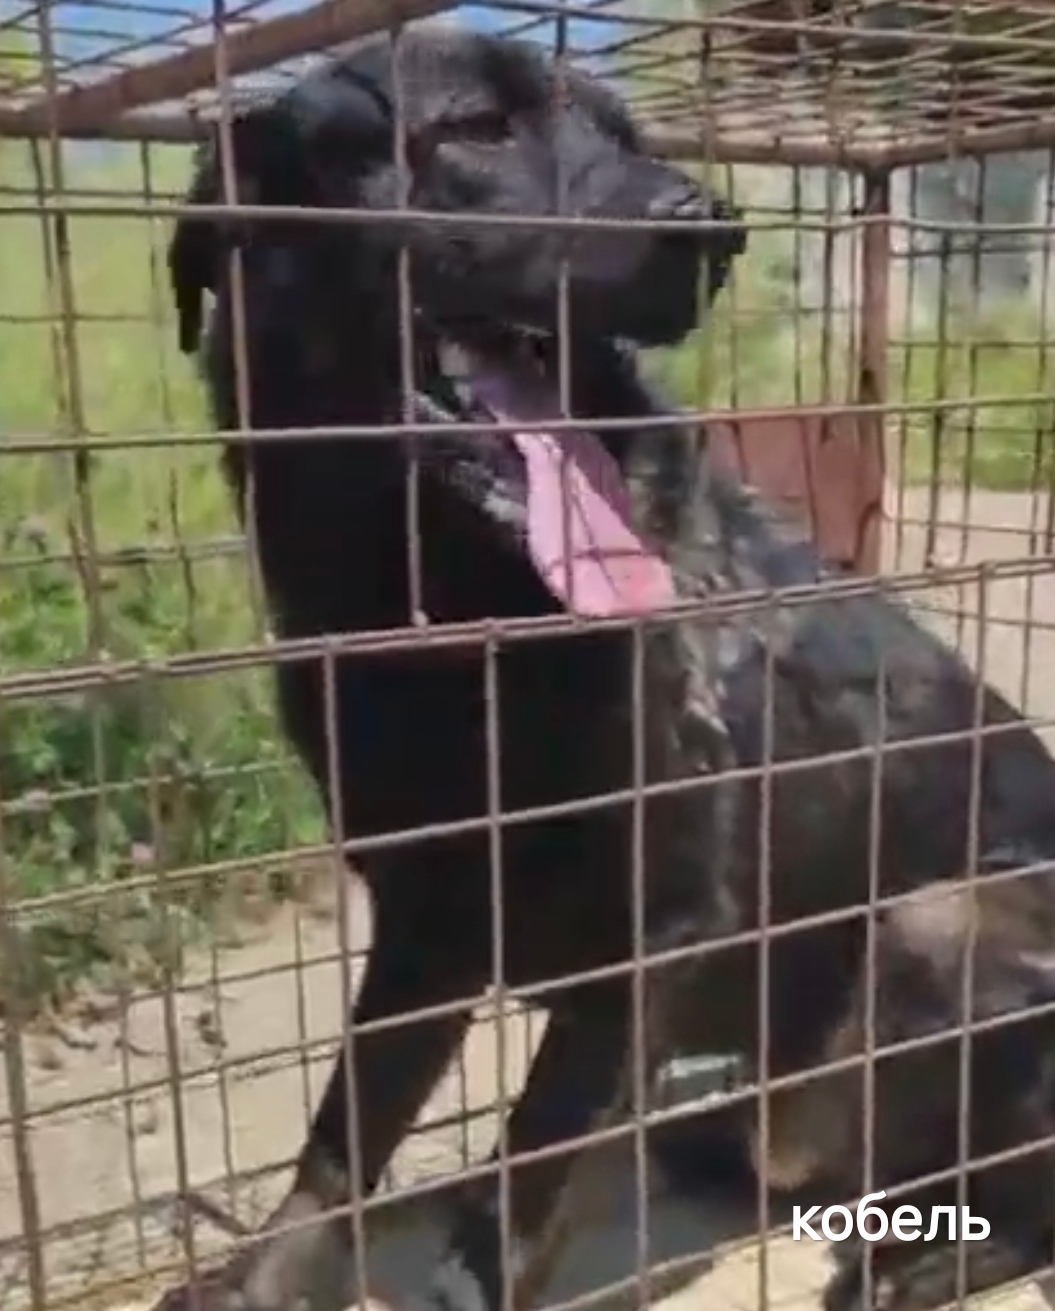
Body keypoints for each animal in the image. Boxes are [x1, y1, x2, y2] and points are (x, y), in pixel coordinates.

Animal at [165, 24, 1055, 1311]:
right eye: (476, 128)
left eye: (629, 136)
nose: (711, 229)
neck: (452, 610)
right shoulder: (430, 921)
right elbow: (341, 1142)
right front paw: (262, 1281)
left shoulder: (658, 932)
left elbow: (526, 1172)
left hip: (936, 924)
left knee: (1023, 1194)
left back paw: (919, 1262)